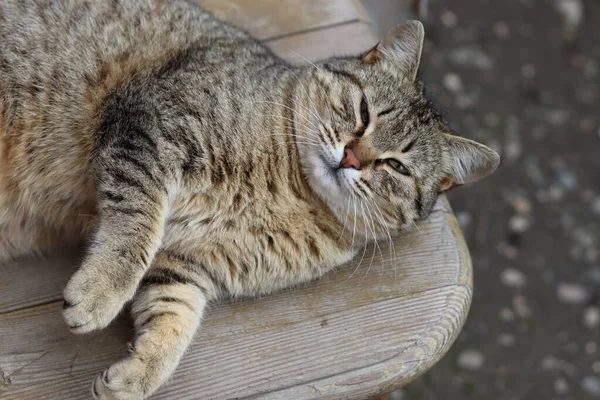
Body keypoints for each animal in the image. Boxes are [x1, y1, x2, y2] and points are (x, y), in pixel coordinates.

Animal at [0, 1, 500, 398]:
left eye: (396, 167)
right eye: (363, 113)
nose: (352, 158)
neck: (287, 187)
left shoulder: (187, 262)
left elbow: (175, 315)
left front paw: (139, 374)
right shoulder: (153, 124)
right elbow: (136, 226)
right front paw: (101, 291)